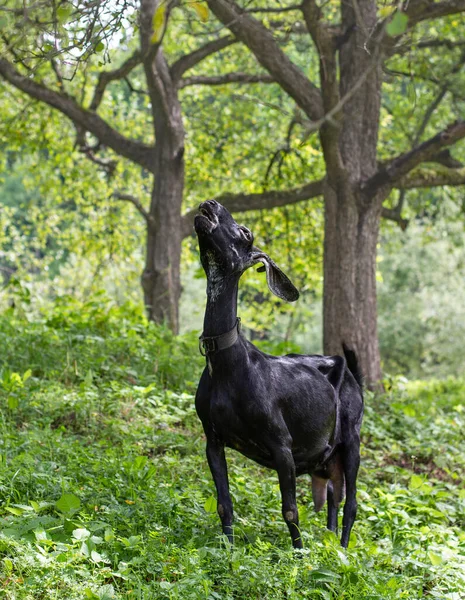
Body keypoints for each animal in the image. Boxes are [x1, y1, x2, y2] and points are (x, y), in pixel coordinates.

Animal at [192, 202, 362, 548]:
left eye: (246, 233)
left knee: (350, 503)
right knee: (333, 498)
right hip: (327, 458)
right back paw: (330, 543)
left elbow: (290, 511)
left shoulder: (282, 445)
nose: (211, 205)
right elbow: (224, 504)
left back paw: (342, 552)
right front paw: (227, 549)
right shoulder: (212, 439)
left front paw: (299, 556)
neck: (230, 366)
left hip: (352, 439)